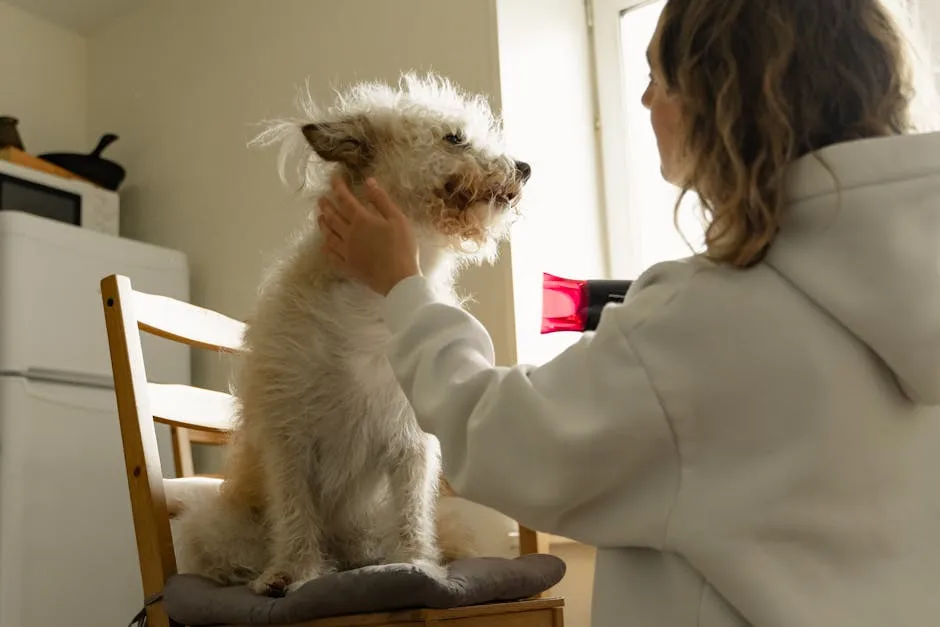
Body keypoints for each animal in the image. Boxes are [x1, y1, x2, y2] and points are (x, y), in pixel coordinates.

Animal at [173, 75, 532, 600]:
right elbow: (295, 511)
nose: (525, 167)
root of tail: (345, 550)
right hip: (215, 527)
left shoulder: (412, 443)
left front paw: (416, 564)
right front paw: (294, 571)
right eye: (454, 138)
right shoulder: (289, 437)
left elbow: (411, 514)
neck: (372, 298)